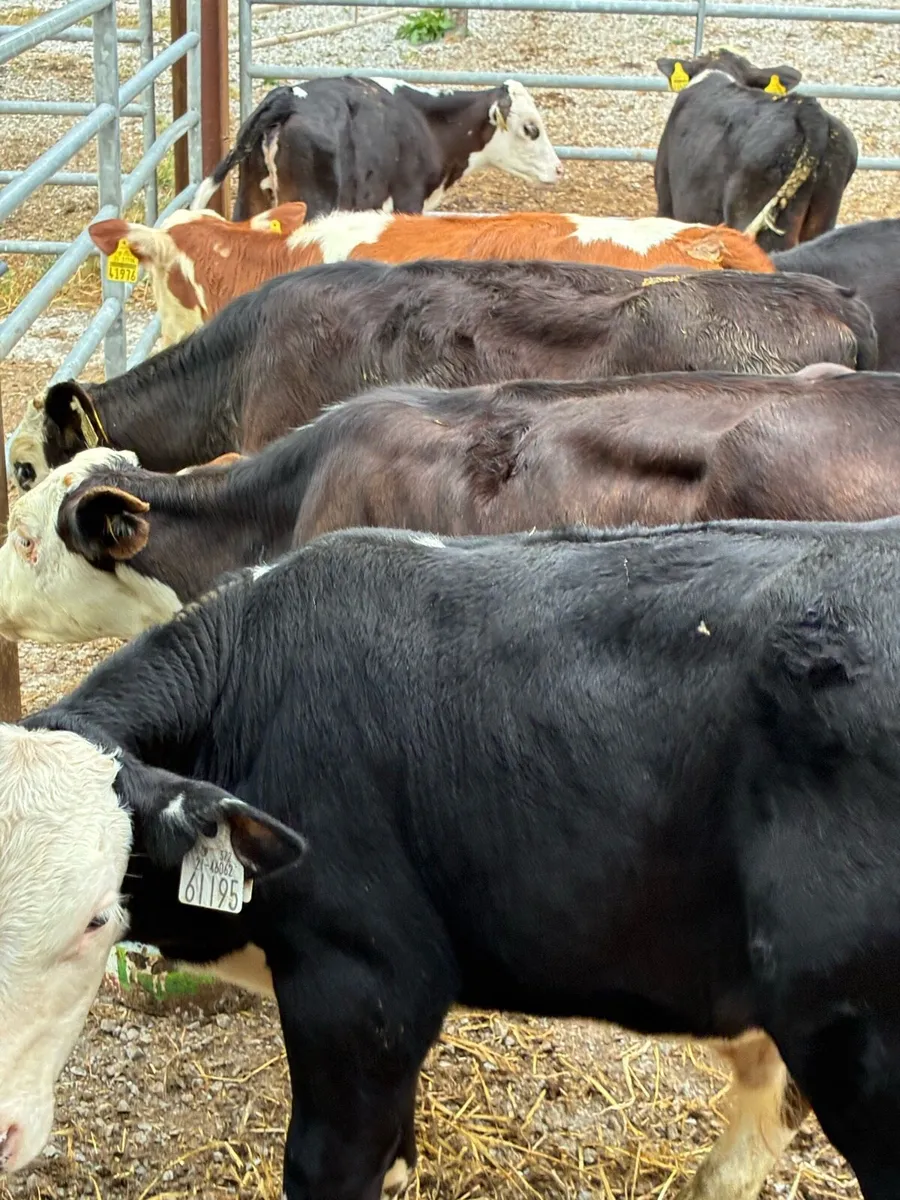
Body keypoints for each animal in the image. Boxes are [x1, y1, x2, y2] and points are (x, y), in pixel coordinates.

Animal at [191, 77, 562, 221]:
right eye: (531, 129)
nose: (559, 169)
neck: (427, 123)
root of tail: (287, 97)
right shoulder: (407, 204)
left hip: (250, 198)